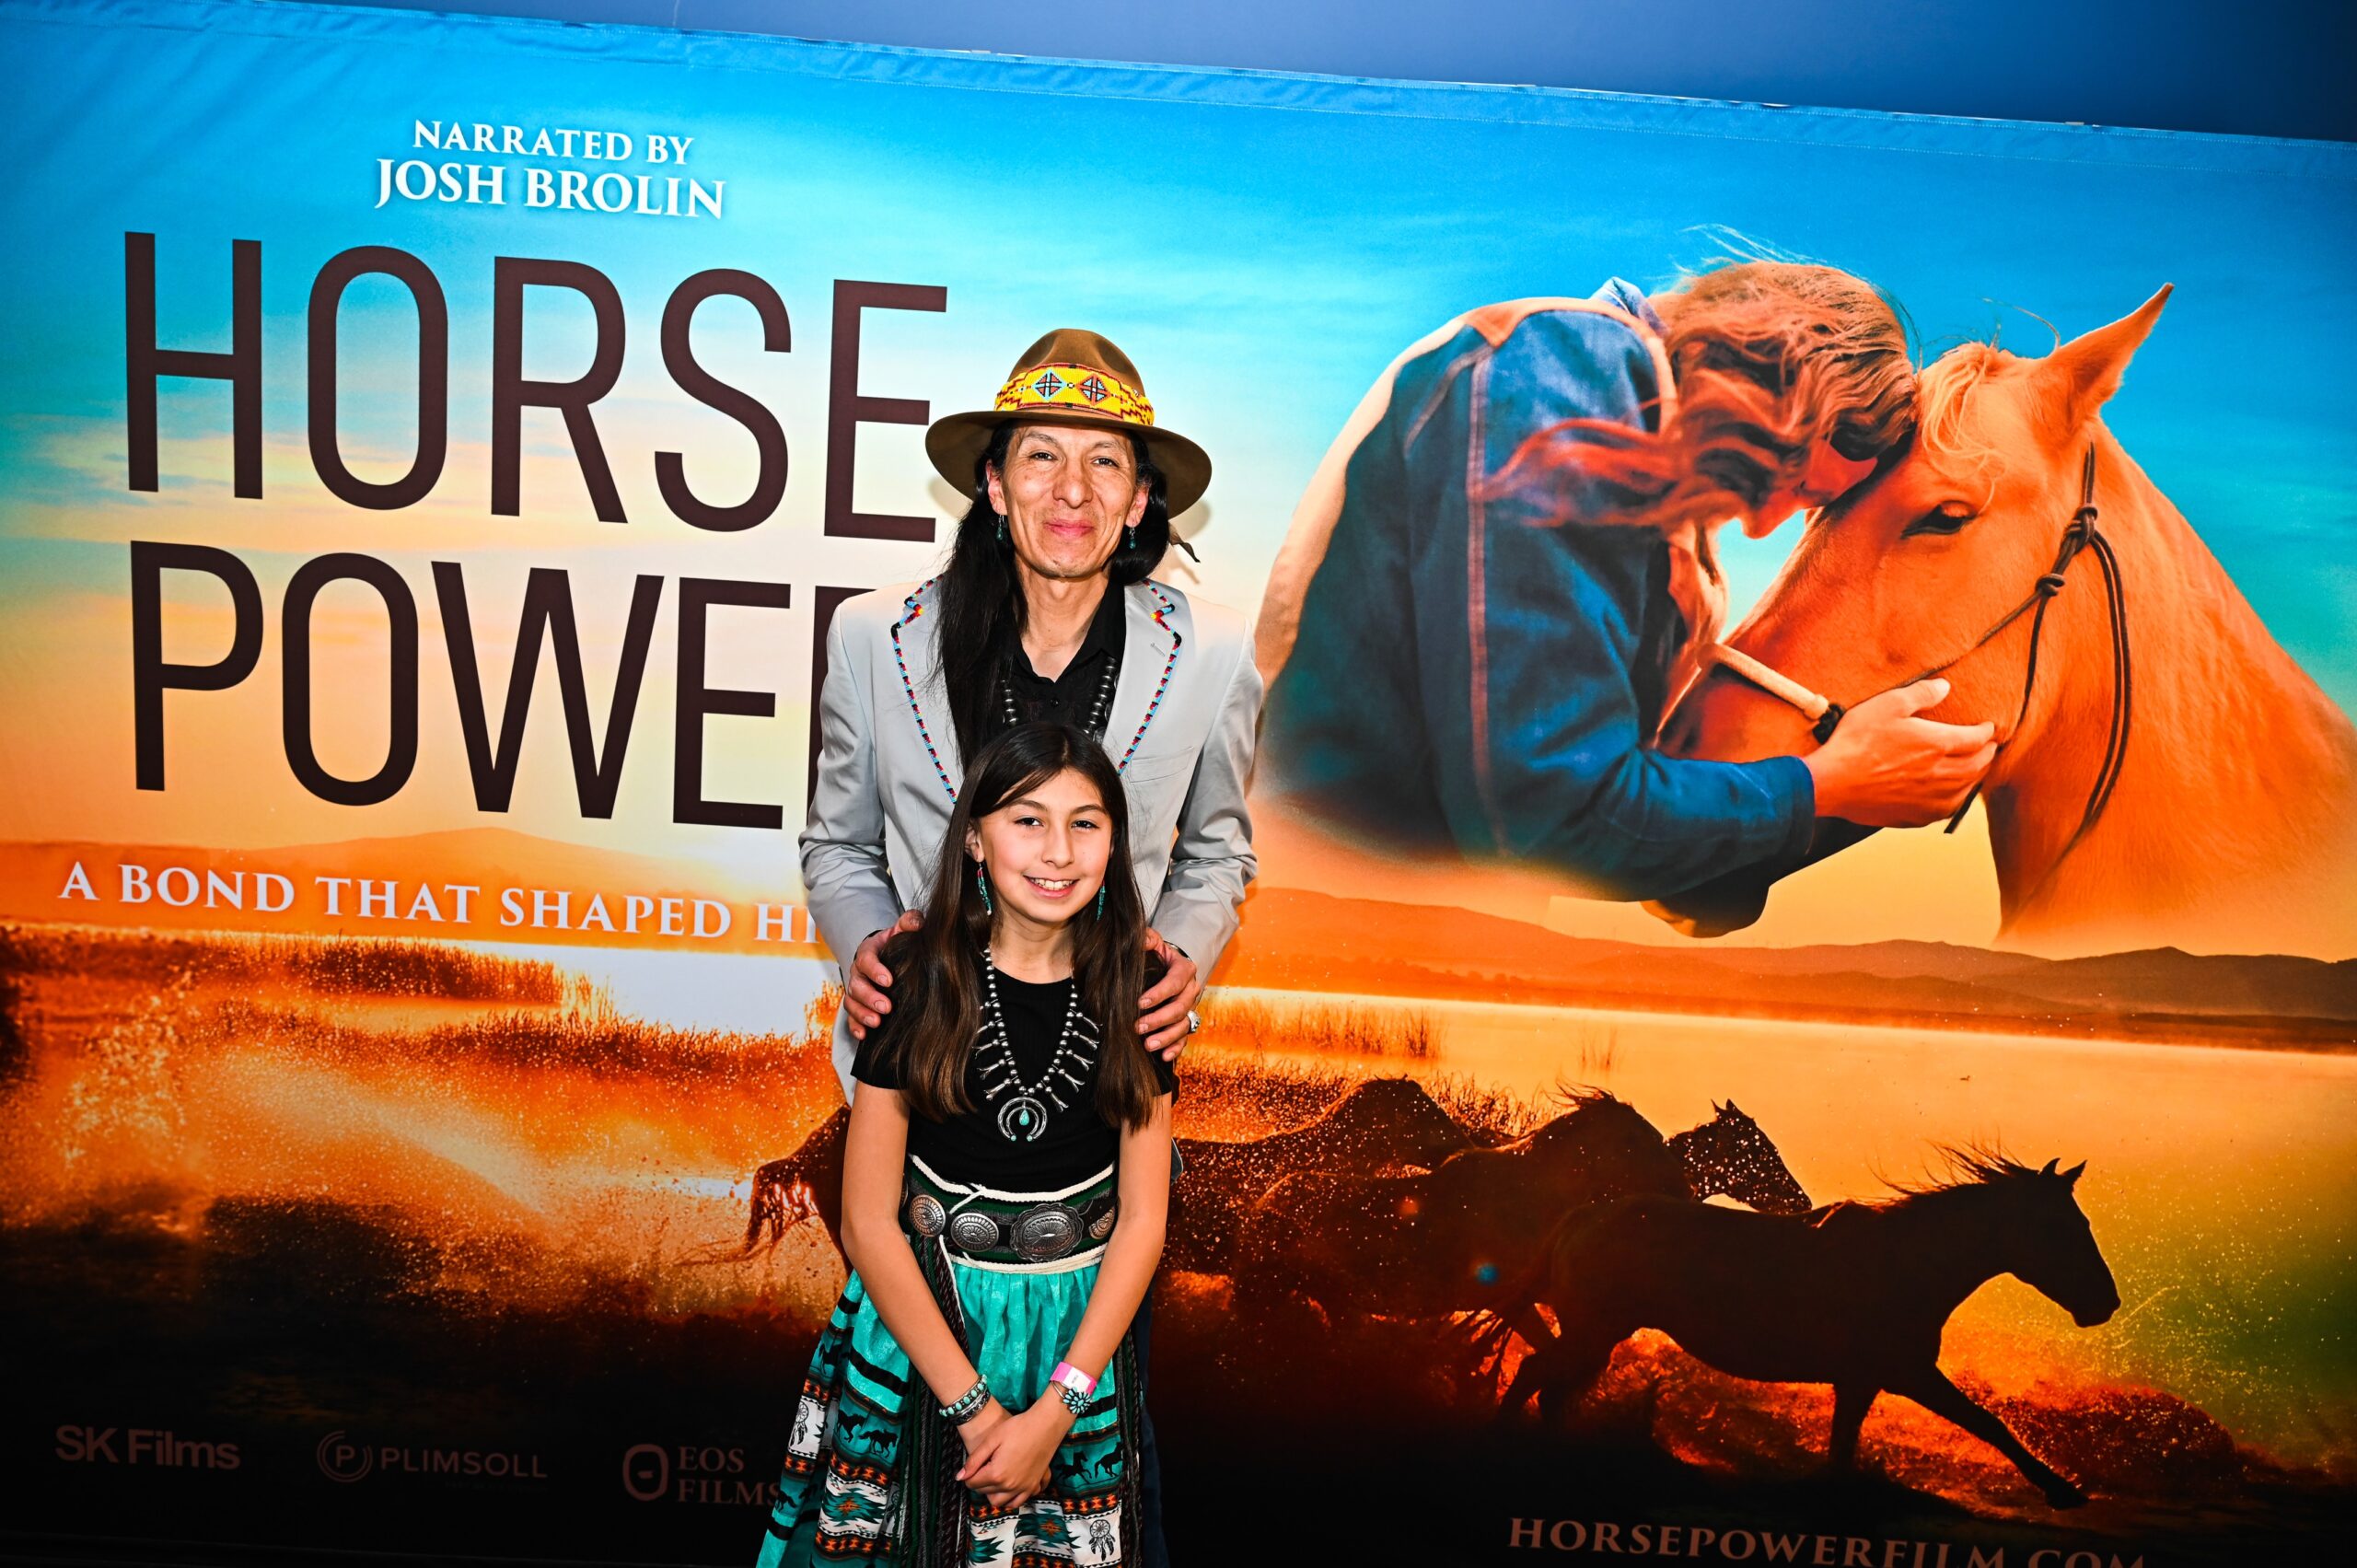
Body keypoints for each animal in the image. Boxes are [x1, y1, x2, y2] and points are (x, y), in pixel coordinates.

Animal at [1499, 1154, 2119, 1509]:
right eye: (2056, 1227)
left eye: (2083, 1222)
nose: (2105, 1303)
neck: (1907, 1264)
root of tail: (1584, 1215)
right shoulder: (1910, 1373)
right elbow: (1989, 1424)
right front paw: (2063, 1490)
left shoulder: (1862, 1381)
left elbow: (1843, 1448)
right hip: (1593, 1332)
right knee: (1537, 1376)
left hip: (1594, 1336)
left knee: (1547, 1385)